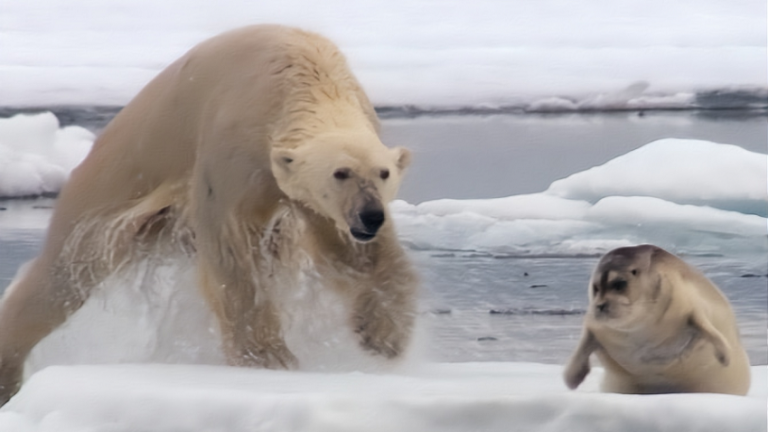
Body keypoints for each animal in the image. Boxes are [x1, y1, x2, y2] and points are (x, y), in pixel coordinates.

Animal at [0, 26, 420, 404]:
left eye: (383, 173)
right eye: (340, 172)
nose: (370, 216)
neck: (302, 76)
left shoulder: (313, 195)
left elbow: (355, 254)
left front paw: (383, 334)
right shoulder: (232, 148)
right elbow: (232, 252)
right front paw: (269, 359)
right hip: (117, 178)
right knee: (62, 274)